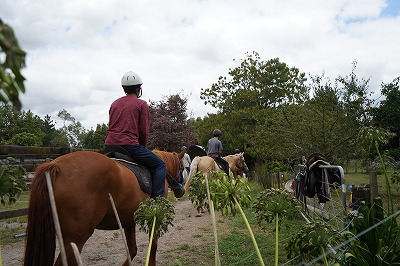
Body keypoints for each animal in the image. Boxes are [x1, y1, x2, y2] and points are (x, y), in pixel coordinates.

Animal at [24, 150, 186, 266]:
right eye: (183, 167)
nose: (181, 191)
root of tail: (55, 166)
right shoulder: (156, 217)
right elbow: (153, 246)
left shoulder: (128, 220)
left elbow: (132, 250)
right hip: (75, 240)